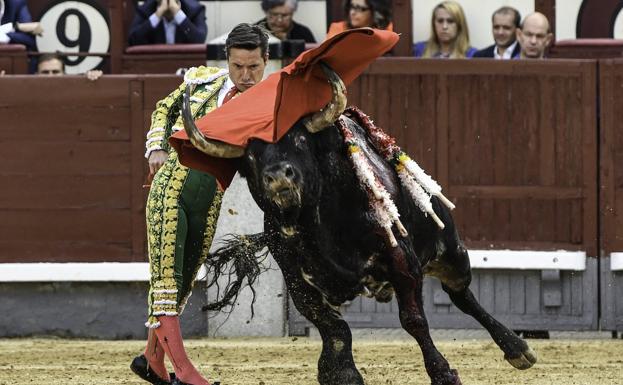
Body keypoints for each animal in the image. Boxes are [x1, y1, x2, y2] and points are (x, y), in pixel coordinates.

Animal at [180, 63, 536, 384]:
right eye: (250, 155)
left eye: (299, 140)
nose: (279, 176)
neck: (318, 224)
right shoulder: (297, 281)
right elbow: (334, 328)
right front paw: (340, 373)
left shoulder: (402, 261)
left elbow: (414, 320)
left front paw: (444, 374)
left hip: (451, 252)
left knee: (462, 295)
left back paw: (518, 349)